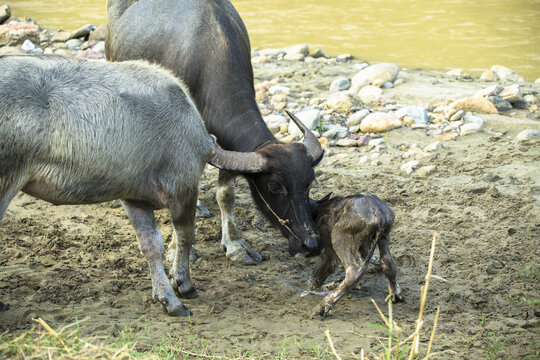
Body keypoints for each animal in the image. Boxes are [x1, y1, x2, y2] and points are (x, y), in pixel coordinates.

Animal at [0, 53, 268, 316]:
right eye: (275, 186)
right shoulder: (183, 185)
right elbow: (185, 235)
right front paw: (184, 284)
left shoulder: (134, 198)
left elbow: (152, 245)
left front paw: (166, 298)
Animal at [106, 0, 324, 264]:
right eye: (274, 187)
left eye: (309, 183)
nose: (310, 245)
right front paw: (176, 249)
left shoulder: (230, 149)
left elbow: (225, 194)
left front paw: (235, 244)